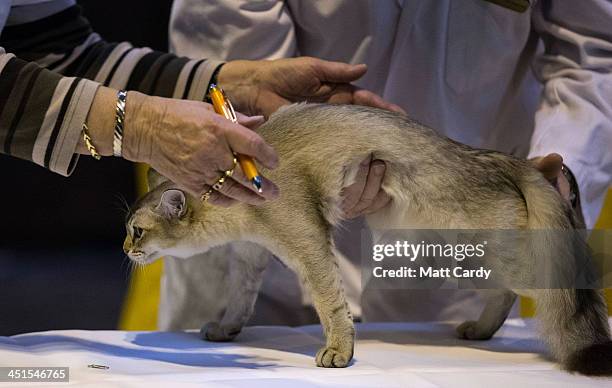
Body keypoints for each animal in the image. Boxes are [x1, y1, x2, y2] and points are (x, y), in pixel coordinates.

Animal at [124, 102, 612, 372]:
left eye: (136, 230)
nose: (126, 249)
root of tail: (502, 161)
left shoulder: (308, 244)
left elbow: (329, 302)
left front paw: (339, 351)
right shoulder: (250, 256)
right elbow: (239, 300)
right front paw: (227, 328)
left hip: (498, 253)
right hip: (462, 252)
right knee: (505, 293)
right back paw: (481, 329)